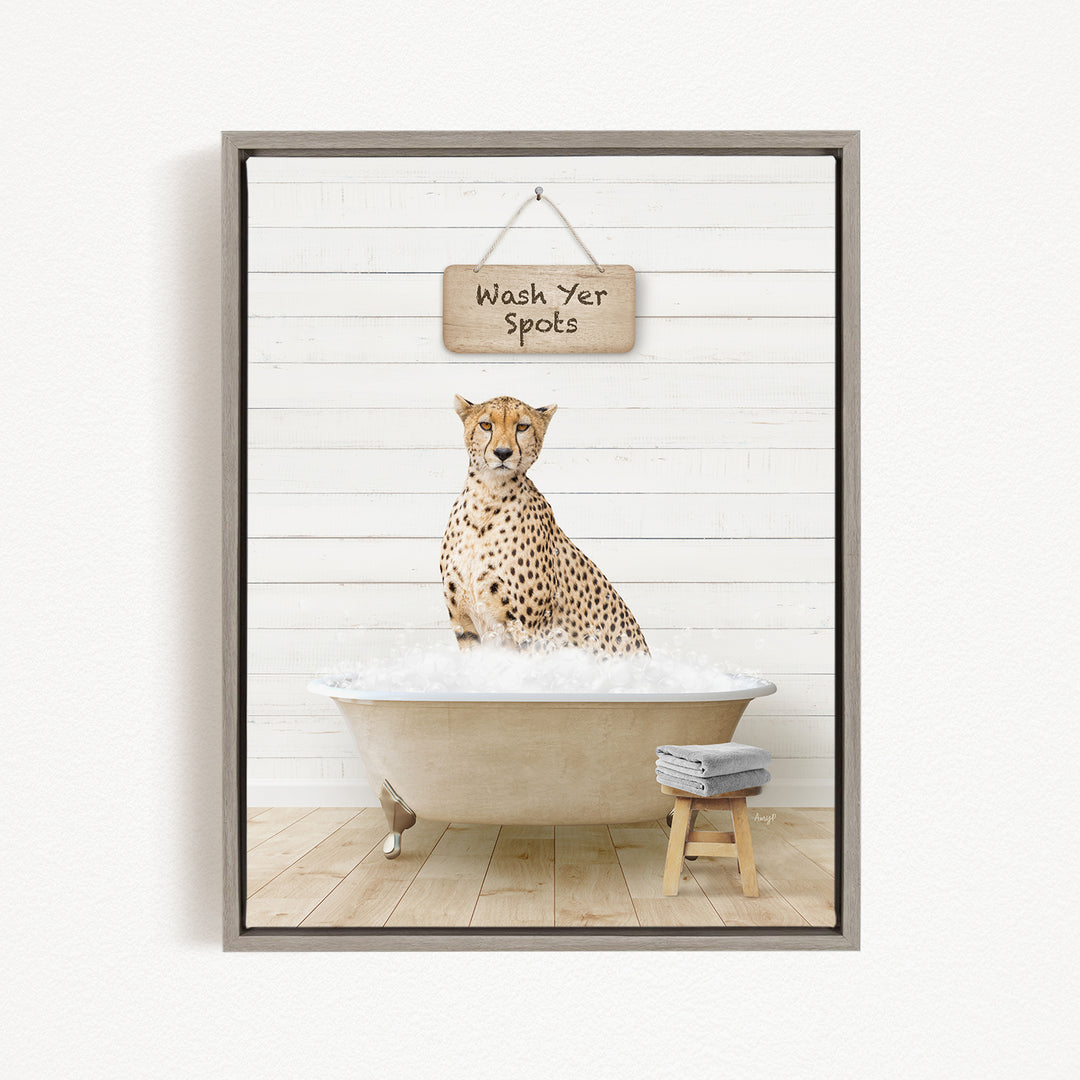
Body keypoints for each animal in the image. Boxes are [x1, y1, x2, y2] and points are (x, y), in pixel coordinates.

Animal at [440, 394, 649, 657]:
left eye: (522, 427)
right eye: (486, 425)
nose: (502, 453)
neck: (487, 497)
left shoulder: (531, 632)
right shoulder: (465, 626)